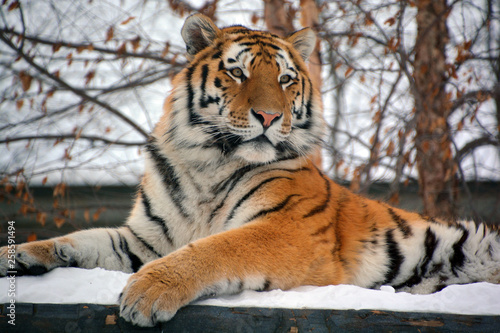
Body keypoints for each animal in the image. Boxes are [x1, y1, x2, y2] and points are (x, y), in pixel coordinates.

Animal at [0, 13, 500, 326]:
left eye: (285, 79)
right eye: (238, 73)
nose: (269, 116)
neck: (209, 160)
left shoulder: (287, 228)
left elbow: (215, 248)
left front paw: (147, 292)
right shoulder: (146, 239)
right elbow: (79, 240)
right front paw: (17, 254)